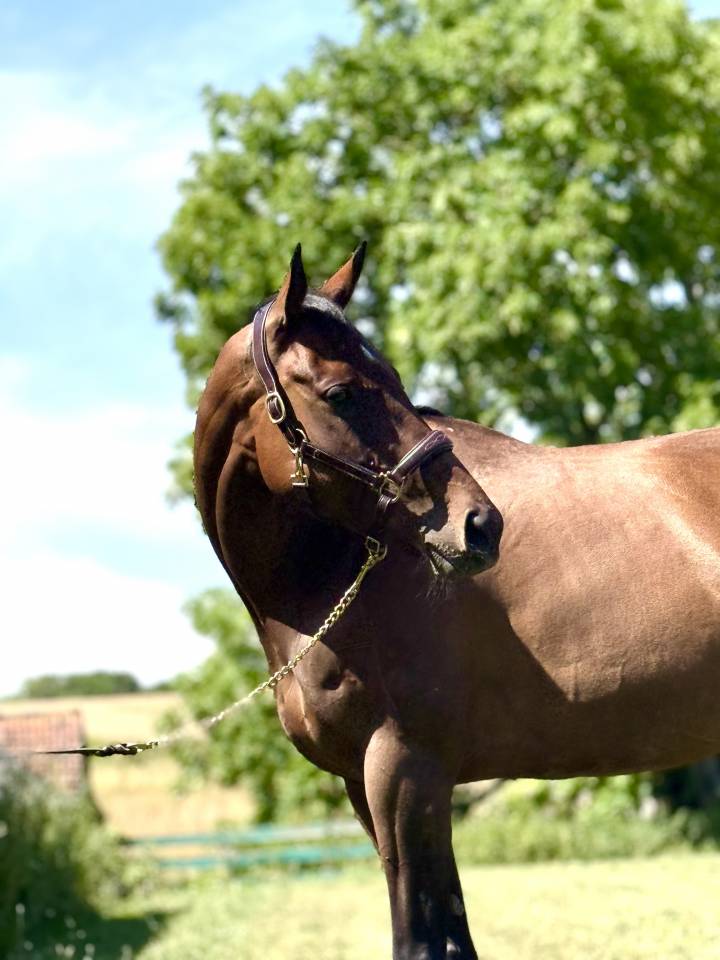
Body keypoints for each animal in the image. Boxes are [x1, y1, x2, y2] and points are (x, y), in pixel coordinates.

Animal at [193, 244, 720, 959]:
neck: (326, 581)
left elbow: (420, 940)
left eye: (396, 378)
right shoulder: (375, 786)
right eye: (340, 392)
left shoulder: (405, 771)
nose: (480, 525)